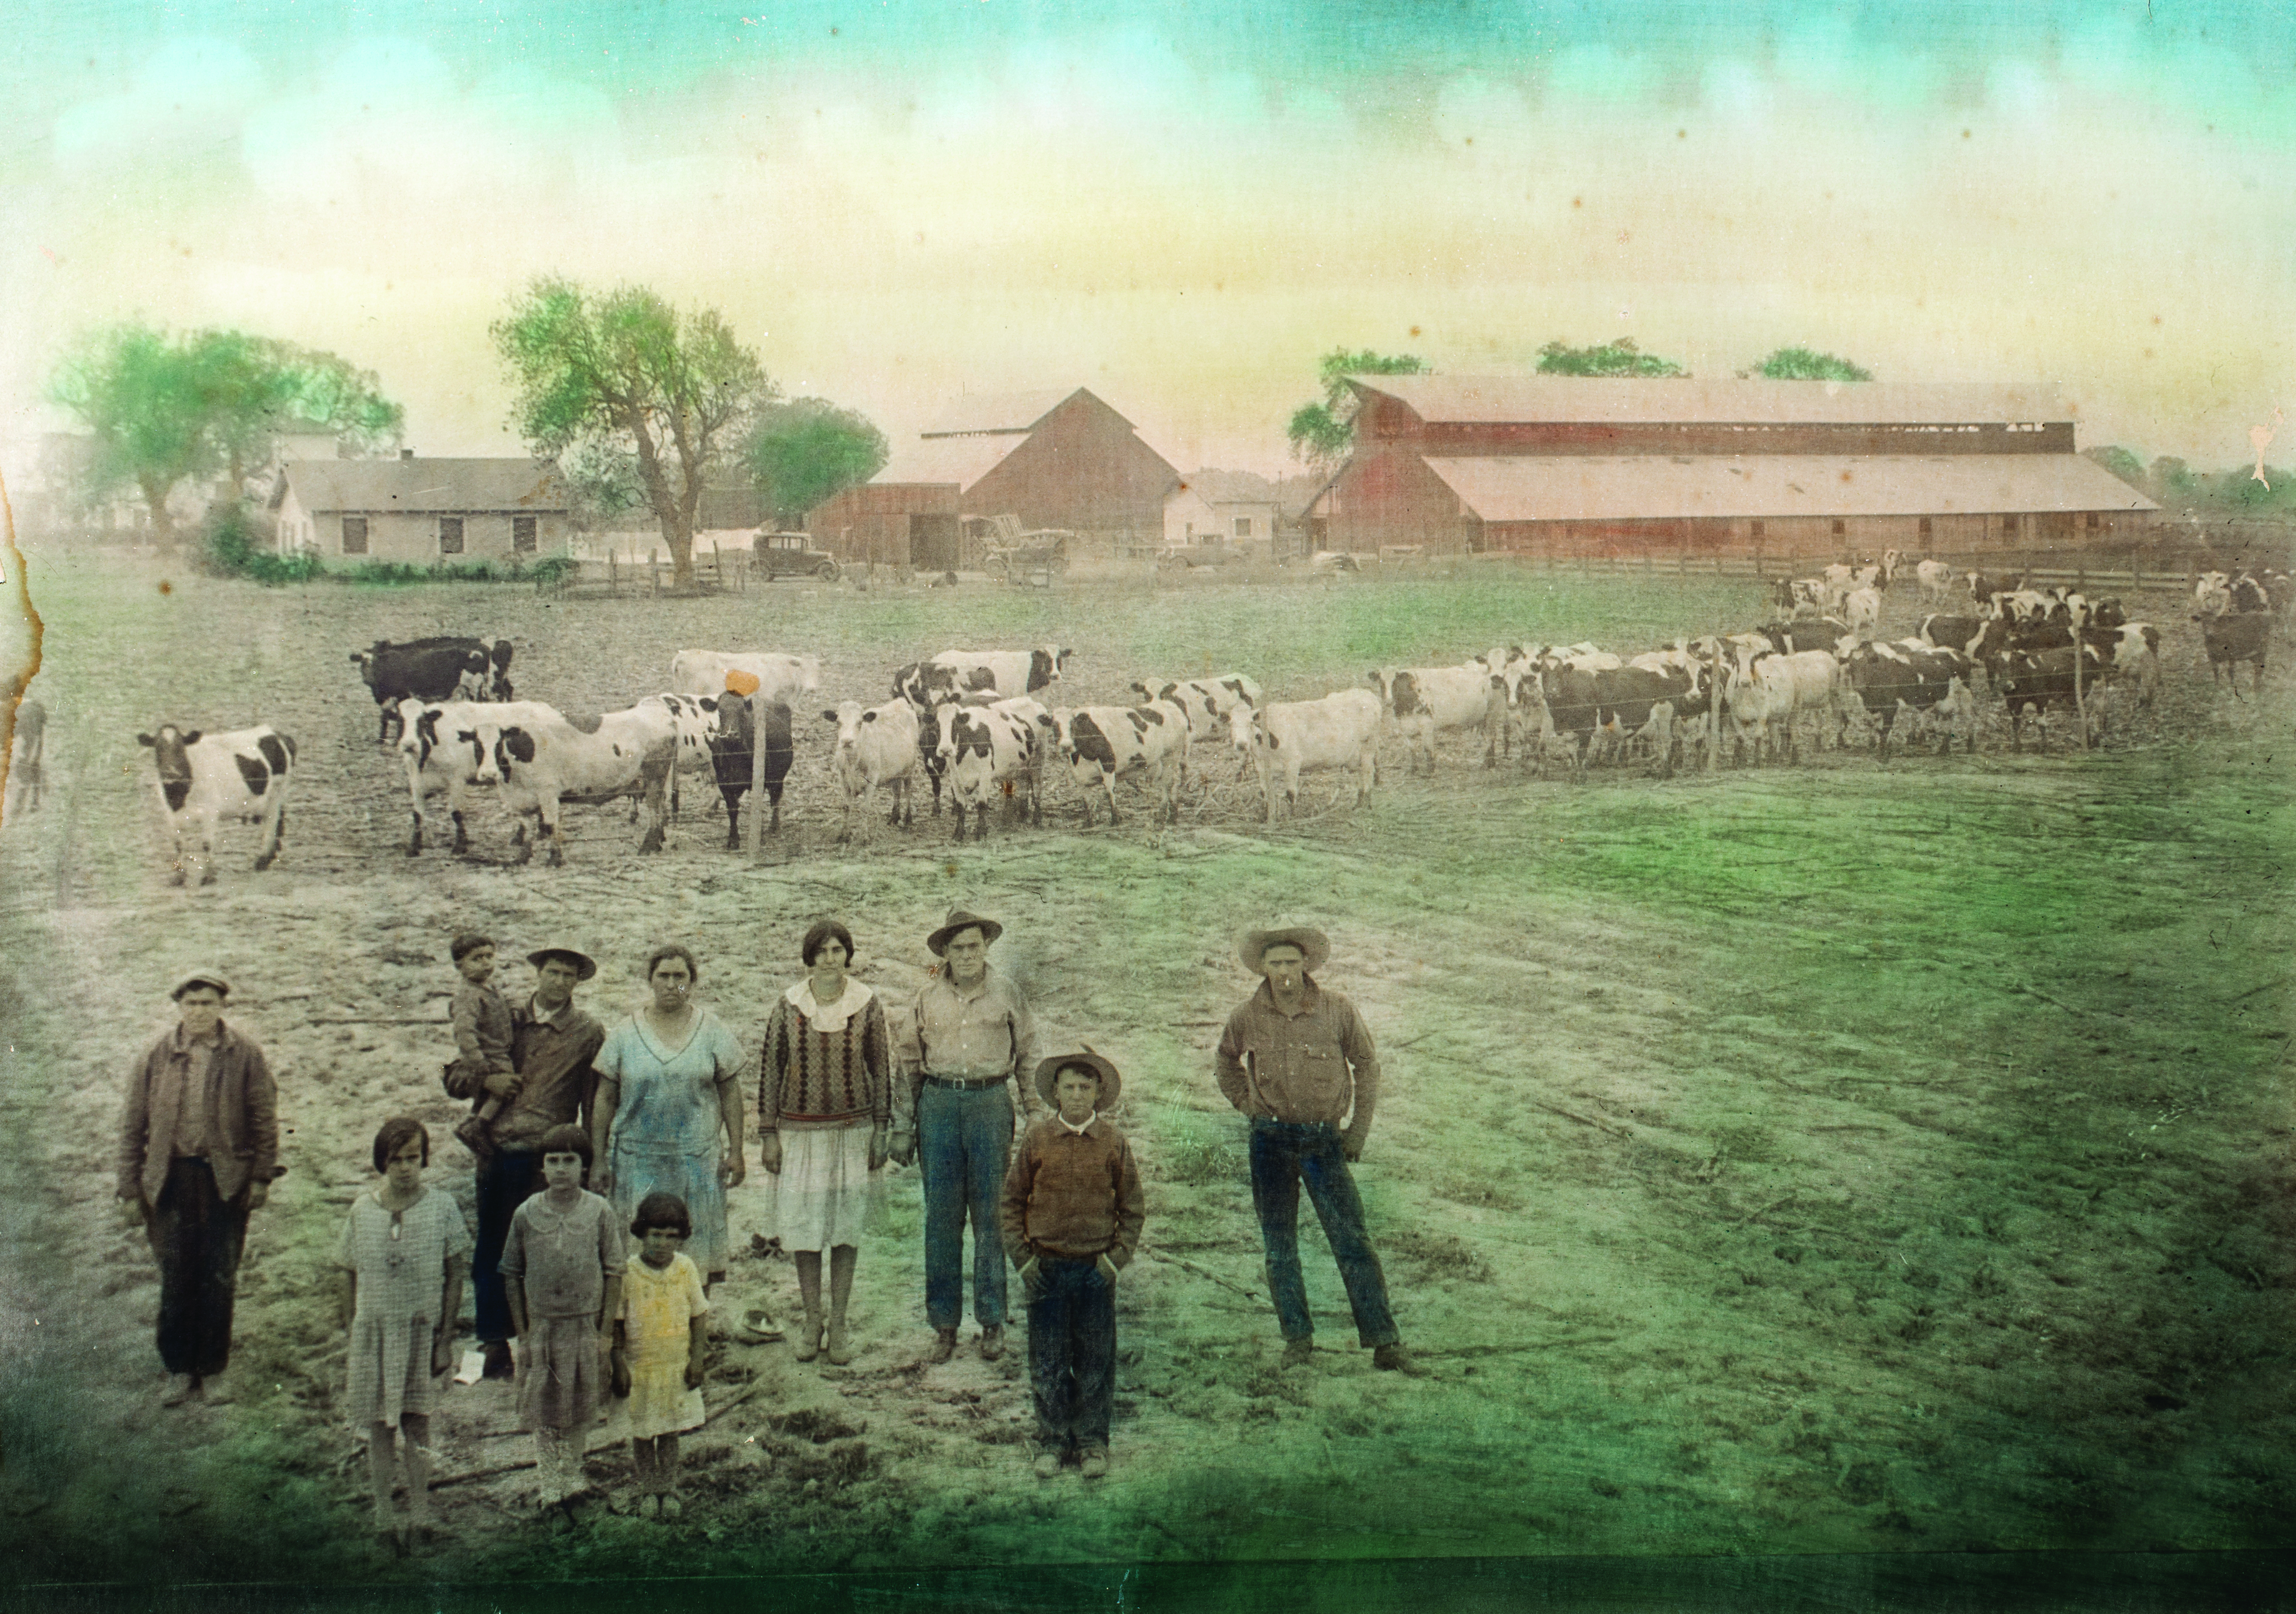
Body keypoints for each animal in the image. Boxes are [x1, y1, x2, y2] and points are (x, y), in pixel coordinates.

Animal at [137, 725, 296, 891]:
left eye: (181, 749)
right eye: (158, 750)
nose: (171, 774)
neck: (179, 796)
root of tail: (275, 732)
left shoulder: (210, 812)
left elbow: (207, 844)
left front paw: (209, 877)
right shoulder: (170, 815)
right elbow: (178, 845)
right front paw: (179, 877)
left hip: (277, 793)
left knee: (272, 823)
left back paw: (263, 860)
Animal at [349, 643, 517, 748]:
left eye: (376, 663)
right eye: (362, 664)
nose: (368, 679)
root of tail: (483, 649)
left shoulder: (403, 696)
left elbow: (398, 719)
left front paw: (397, 740)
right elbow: (384, 718)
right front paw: (381, 739)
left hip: (475, 688)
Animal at [703, 693, 794, 854]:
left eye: (742, 712)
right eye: (720, 713)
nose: (731, 735)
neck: (735, 755)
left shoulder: (758, 780)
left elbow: (757, 807)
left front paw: (759, 837)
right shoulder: (724, 783)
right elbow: (733, 809)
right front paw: (733, 840)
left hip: (778, 777)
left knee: (776, 799)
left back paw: (774, 827)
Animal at [813, 702, 909, 845]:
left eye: (860, 723)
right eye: (838, 722)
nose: (847, 741)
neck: (853, 761)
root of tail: (899, 702)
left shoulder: (872, 779)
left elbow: (866, 808)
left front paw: (865, 837)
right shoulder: (843, 779)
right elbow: (847, 807)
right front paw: (844, 835)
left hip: (910, 768)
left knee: (908, 792)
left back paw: (908, 819)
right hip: (896, 772)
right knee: (897, 792)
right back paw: (894, 819)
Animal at [1249, 689, 1387, 826]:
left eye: (1250, 724)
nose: (1244, 745)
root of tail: (1368, 694)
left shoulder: (1293, 762)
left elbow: (1291, 793)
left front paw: (1292, 817)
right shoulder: (1260, 764)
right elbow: (1264, 792)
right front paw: (1265, 815)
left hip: (1368, 748)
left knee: (1368, 775)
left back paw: (1363, 805)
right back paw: (1360, 804)